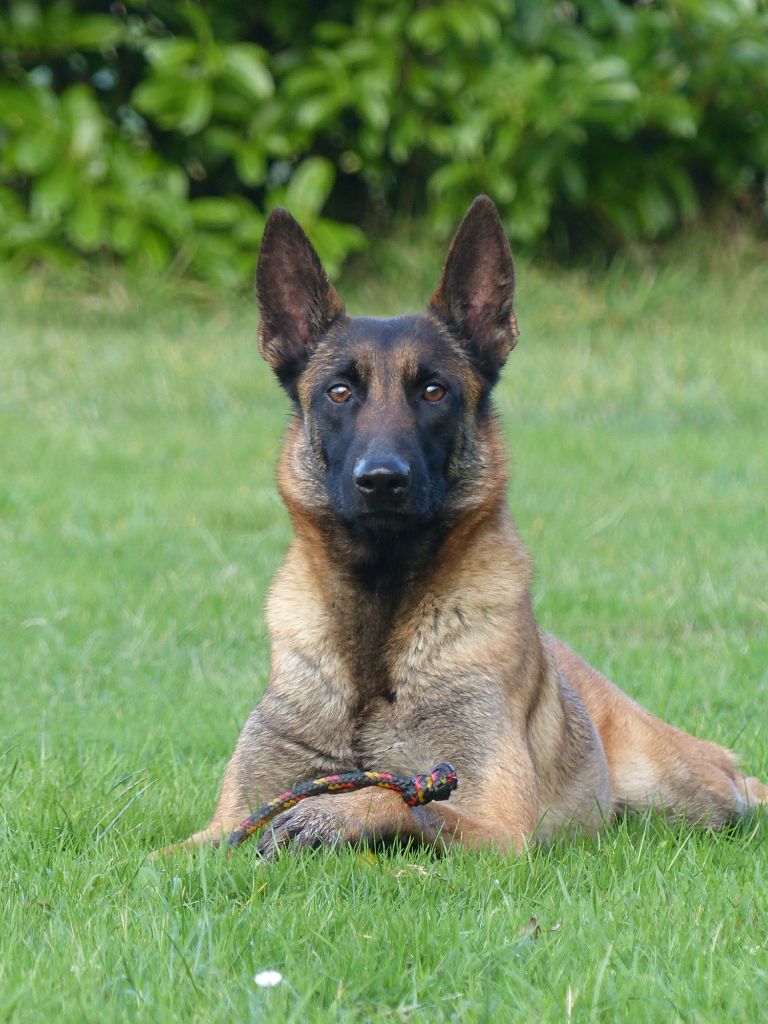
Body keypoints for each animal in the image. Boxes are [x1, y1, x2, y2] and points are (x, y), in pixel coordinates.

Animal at [176, 195, 768, 851]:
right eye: (339, 392)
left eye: (434, 391)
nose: (382, 480)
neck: (378, 623)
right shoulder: (214, 831)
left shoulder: (499, 829)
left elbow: (393, 794)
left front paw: (328, 812)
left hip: (691, 794)